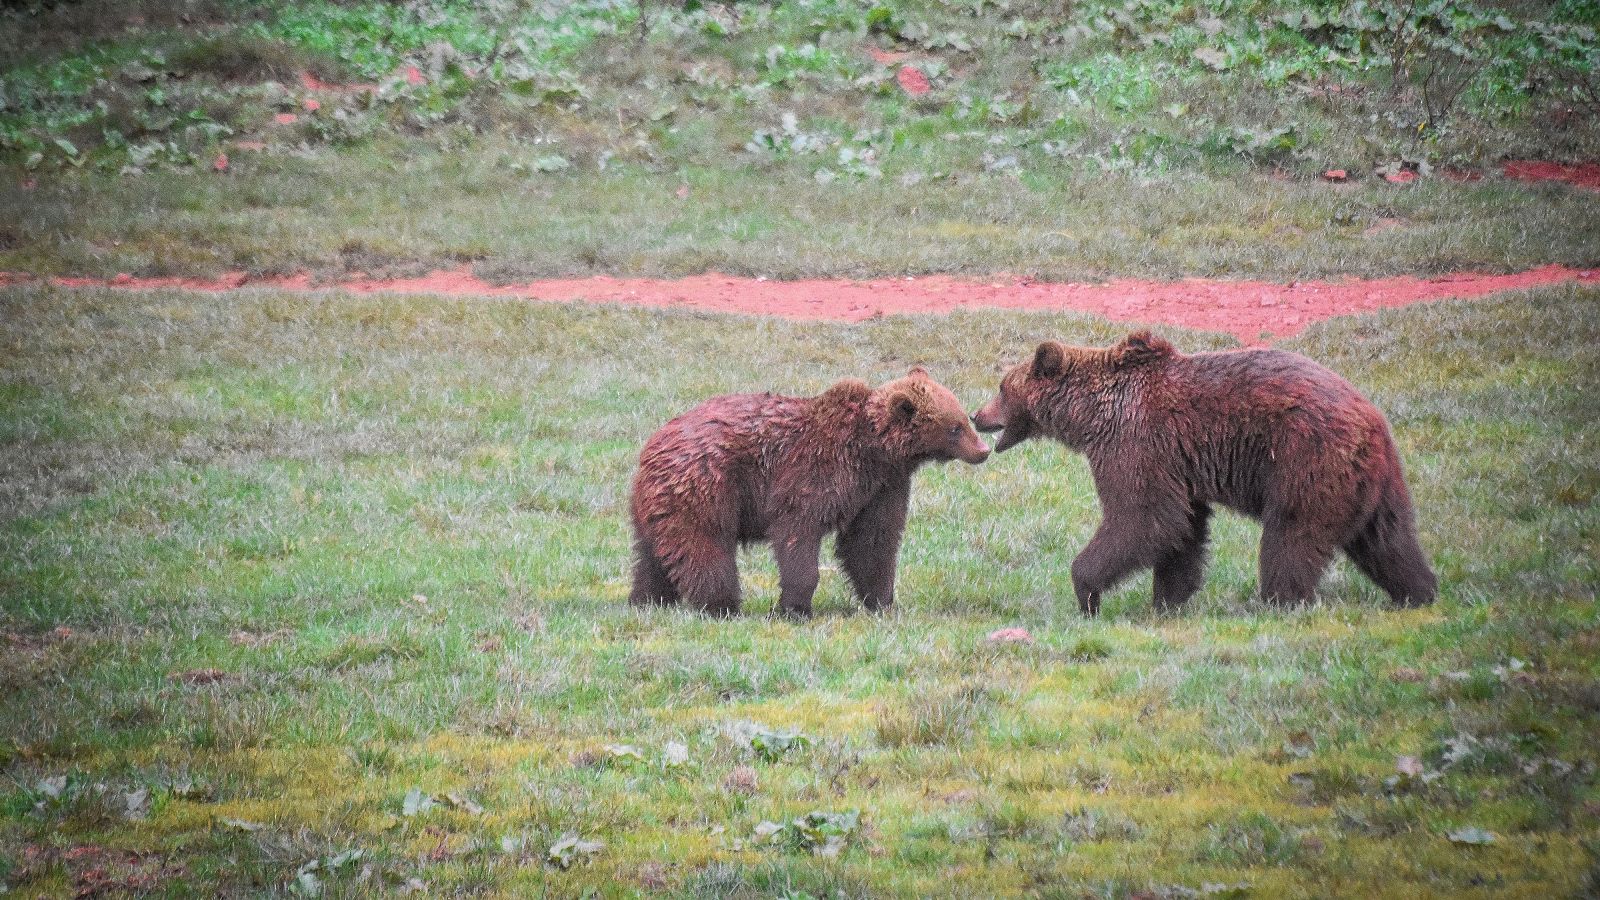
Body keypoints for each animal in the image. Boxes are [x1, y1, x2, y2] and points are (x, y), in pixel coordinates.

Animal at [630, 367, 991, 618]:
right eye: (955, 427)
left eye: (963, 418)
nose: (983, 450)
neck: (873, 451)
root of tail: (652, 444)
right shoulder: (814, 472)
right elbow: (798, 534)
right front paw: (795, 608)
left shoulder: (881, 488)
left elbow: (872, 542)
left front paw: (882, 602)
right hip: (706, 485)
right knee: (704, 546)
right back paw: (723, 605)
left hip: (657, 505)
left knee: (652, 555)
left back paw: (647, 600)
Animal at [971, 331, 1436, 615]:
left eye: (1002, 387)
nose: (977, 415)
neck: (1090, 417)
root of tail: (1371, 419)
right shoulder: (1175, 464)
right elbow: (1182, 528)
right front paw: (1168, 599)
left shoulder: (1135, 443)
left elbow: (1141, 519)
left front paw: (1088, 591)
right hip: (1374, 480)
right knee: (1388, 539)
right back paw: (1419, 591)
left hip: (1306, 458)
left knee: (1291, 536)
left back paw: (1279, 601)